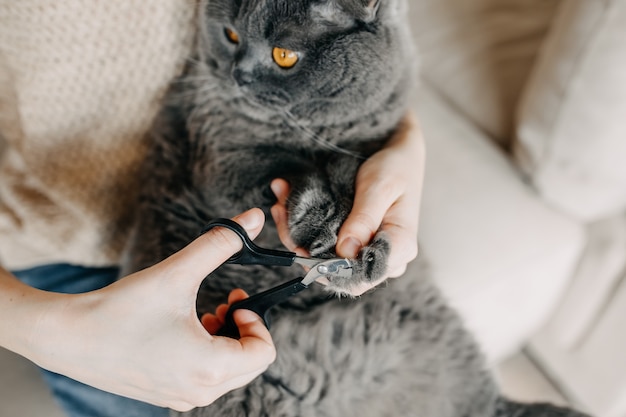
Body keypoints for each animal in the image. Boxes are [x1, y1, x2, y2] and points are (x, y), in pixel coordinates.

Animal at [123, 0, 588, 416]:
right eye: (230, 35)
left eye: (283, 55)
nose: (238, 76)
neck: (319, 129)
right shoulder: (223, 155)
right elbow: (291, 172)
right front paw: (322, 226)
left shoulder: (374, 145)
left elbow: (349, 172)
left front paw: (360, 252)